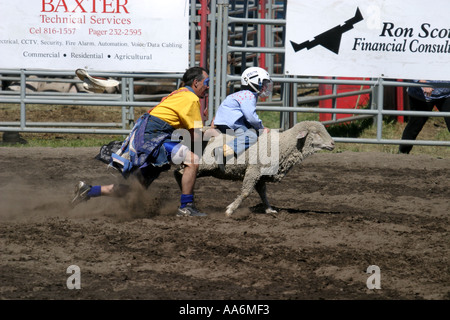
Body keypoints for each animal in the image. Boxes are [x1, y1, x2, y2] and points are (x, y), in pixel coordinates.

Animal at [174, 120, 336, 218]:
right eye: (315, 132)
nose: (333, 144)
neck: (282, 145)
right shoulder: (254, 170)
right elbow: (246, 192)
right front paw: (230, 210)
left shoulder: (261, 175)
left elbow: (263, 193)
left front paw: (269, 209)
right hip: (205, 163)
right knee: (180, 172)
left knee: (179, 173)